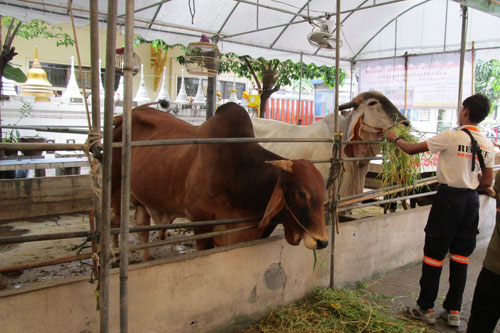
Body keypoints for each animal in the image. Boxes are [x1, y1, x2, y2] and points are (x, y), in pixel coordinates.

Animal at [112, 101, 328, 260]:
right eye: (302, 194)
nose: (323, 241)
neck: (239, 173)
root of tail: (126, 114)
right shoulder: (201, 221)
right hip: (116, 186)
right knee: (116, 220)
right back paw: (115, 254)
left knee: (142, 226)